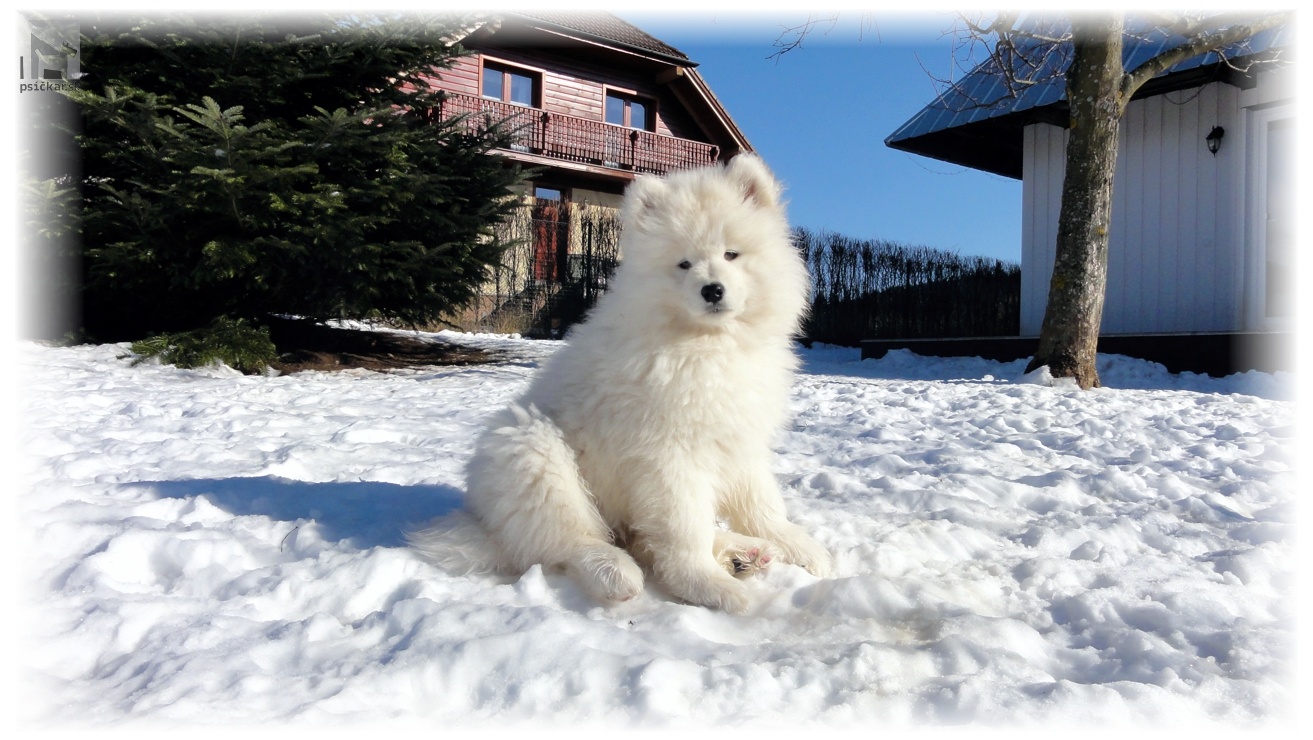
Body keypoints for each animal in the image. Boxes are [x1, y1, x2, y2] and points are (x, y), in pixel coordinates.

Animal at [412, 151, 829, 614]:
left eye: (731, 253)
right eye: (683, 264)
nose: (712, 290)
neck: (707, 343)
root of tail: (485, 526)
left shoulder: (738, 438)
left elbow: (761, 503)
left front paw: (800, 546)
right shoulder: (667, 455)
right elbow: (685, 529)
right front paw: (709, 586)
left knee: (640, 541)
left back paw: (744, 553)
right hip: (532, 452)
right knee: (573, 540)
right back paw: (617, 573)